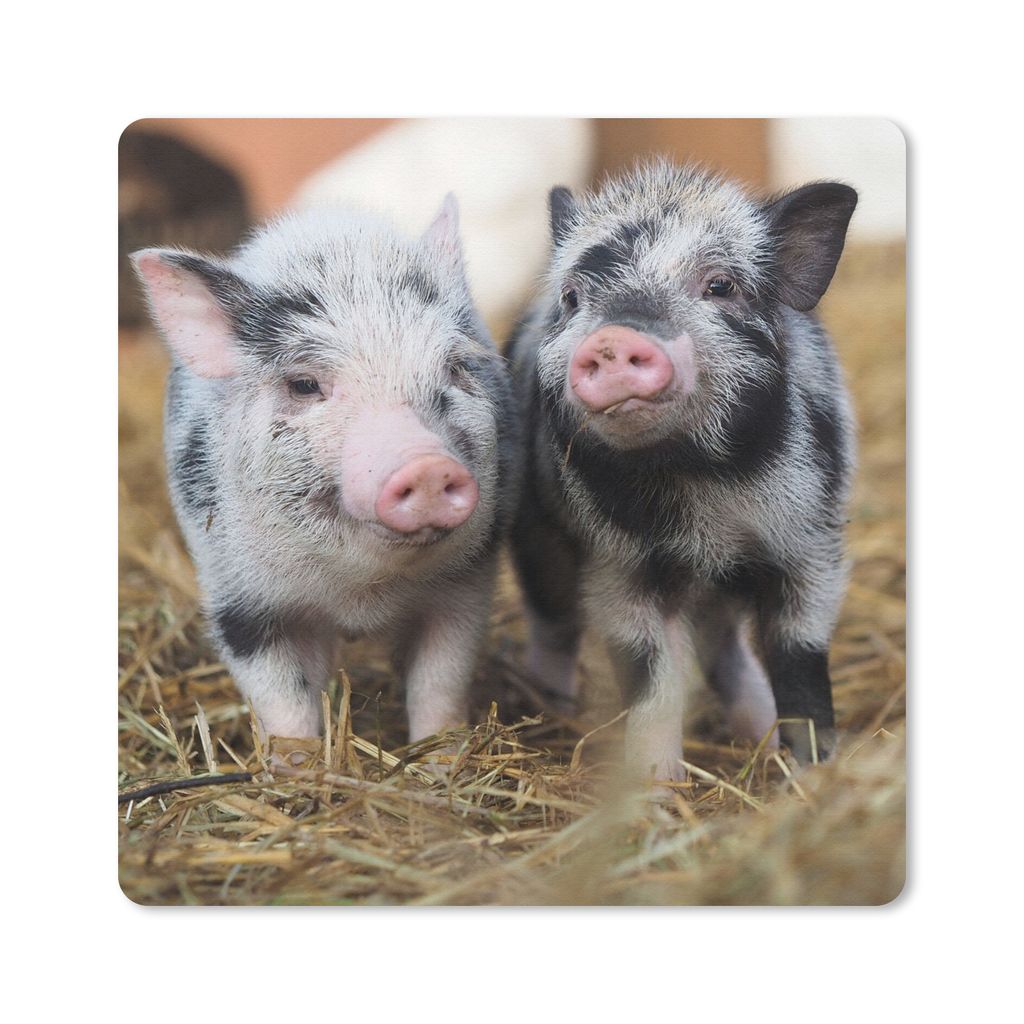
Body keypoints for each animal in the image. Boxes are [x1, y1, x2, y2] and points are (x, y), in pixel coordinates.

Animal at [132, 196, 519, 752]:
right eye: (304, 384)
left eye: (454, 368)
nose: (426, 465)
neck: (361, 595)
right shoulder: (239, 599)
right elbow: (283, 702)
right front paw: (298, 764)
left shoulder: (466, 584)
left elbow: (440, 682)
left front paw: (440, 755)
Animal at [509, 161, 857, 780]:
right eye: (572, 296)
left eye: (720, 286)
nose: (614, 337)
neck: (700, 484)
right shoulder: (618, 566)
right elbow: (652, 679)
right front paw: (655, 784)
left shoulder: (811, 546)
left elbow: (800, 658)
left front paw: (812, 771)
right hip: (536, 537)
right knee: (552, 624)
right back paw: (555, 709)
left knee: (727, 651)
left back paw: (761, 739)